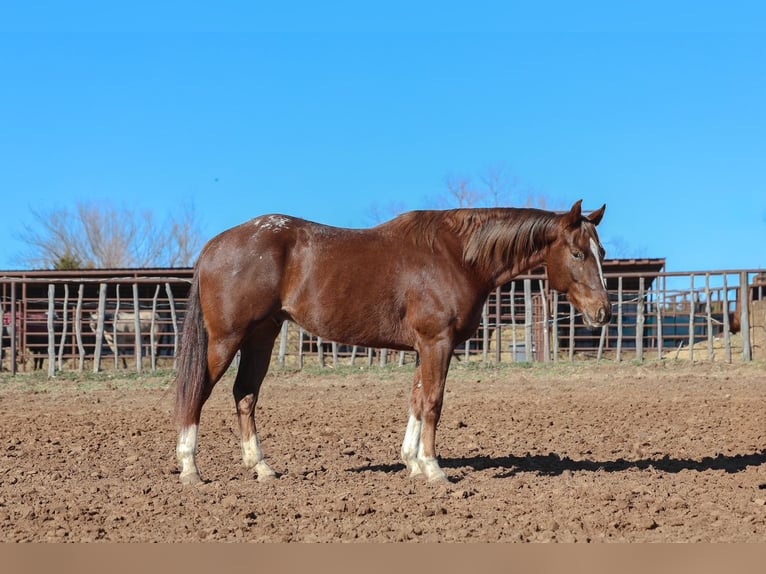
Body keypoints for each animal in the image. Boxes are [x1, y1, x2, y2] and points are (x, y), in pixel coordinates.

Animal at [175, 200, 611, 485]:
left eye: (601, 252)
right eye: (577, 253)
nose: (603, 312)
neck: (457, 256)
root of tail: (214, 246)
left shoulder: (425, 347)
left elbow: (416, 401)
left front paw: (412, 463)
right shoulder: (437, 342)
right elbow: (433, 402)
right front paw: (434, 470)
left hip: (262, 336)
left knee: (245, 394)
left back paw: (261, 467)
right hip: (225, 340)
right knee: (198, 394)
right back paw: (191, 469)